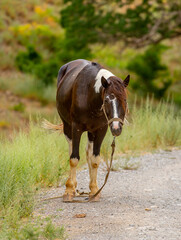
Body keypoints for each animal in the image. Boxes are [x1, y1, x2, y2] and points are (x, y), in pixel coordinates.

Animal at [46, 59, 129, 202]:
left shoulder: (101, 130)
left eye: (125, 99)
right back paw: (72, 186)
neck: (90, 95)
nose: (116, 128)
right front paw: (69, 191)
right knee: (71, 149)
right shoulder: (76, 127)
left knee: (88, 153)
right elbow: (74, 158)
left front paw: (94, 191)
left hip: (91, 132)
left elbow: (95, 160)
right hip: (68, 127)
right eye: (106, 100)